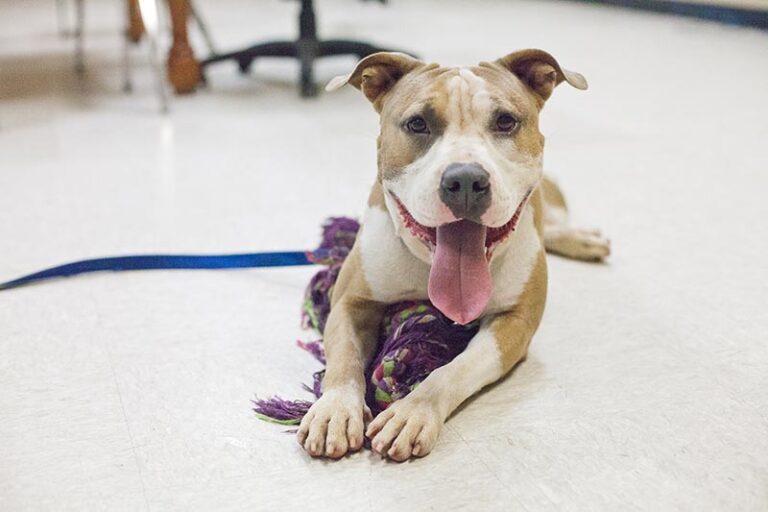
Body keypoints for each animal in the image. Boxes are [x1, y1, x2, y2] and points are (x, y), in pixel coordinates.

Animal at [296, 50, 608, 462]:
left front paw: (413, 412)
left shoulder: (516, 322)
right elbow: (344, 358)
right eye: (417, 124)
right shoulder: (350, 301)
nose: (464, 180)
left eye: (505, 121)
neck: (429, 264)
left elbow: (453, 370)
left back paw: (580, 237)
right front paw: (335, 408)